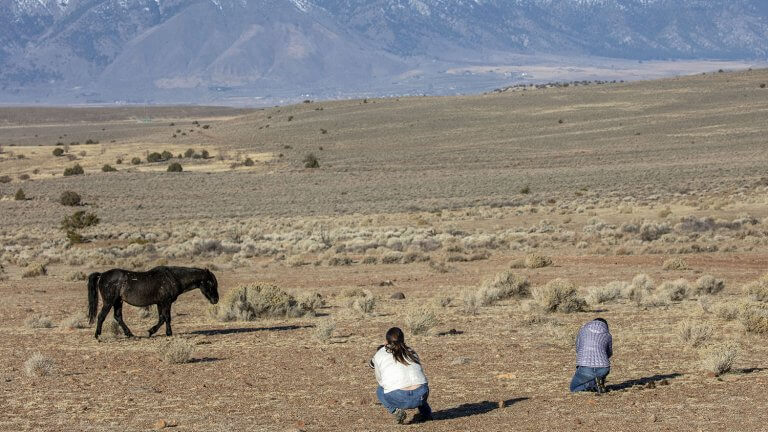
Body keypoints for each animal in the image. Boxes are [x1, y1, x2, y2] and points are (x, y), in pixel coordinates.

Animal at [88, 264, 219, 340]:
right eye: (210, 282)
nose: (216, 300)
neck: (173, 277)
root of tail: (102, 275)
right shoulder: (166, 302)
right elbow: (167, 318)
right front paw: (168, 333)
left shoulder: (160, 303)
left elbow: (161, 318)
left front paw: (151, 331)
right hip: (109, 302)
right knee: (101, 316)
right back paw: (98, 335)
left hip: (118, 301)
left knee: (118, 316)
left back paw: (130, 334)